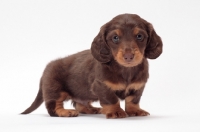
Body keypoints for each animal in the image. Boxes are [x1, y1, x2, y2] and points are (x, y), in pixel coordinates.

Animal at [21, 13, 162, 118]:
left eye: (139, 36)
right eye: (115, 38)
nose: (128, 56)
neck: (126, 70)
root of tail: (47, 67)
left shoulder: (138, 87)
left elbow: (133, 100)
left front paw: (135, 111)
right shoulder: (101, 86)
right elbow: (111, 99)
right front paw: (115, 111)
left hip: (82, 93)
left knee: (80, 104)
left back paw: (91, 109)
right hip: (55, 90)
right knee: (53, 107)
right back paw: (66, 112)